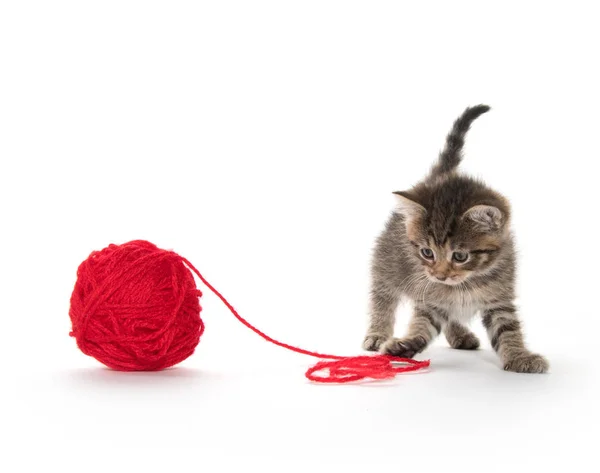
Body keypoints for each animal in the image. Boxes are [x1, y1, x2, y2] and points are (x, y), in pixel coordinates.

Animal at [360, 104, 548, 372]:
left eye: (460, 256)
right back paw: (377, 332)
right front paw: (403, 344)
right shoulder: (429, 296)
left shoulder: (499, 298)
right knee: (382, 296)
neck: (467, 283)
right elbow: (422, 323)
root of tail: (435, 178)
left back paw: (460, 334)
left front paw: (519, 356)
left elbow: (508, 328)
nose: (440, 275)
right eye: (427, 252)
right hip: (387, 263)